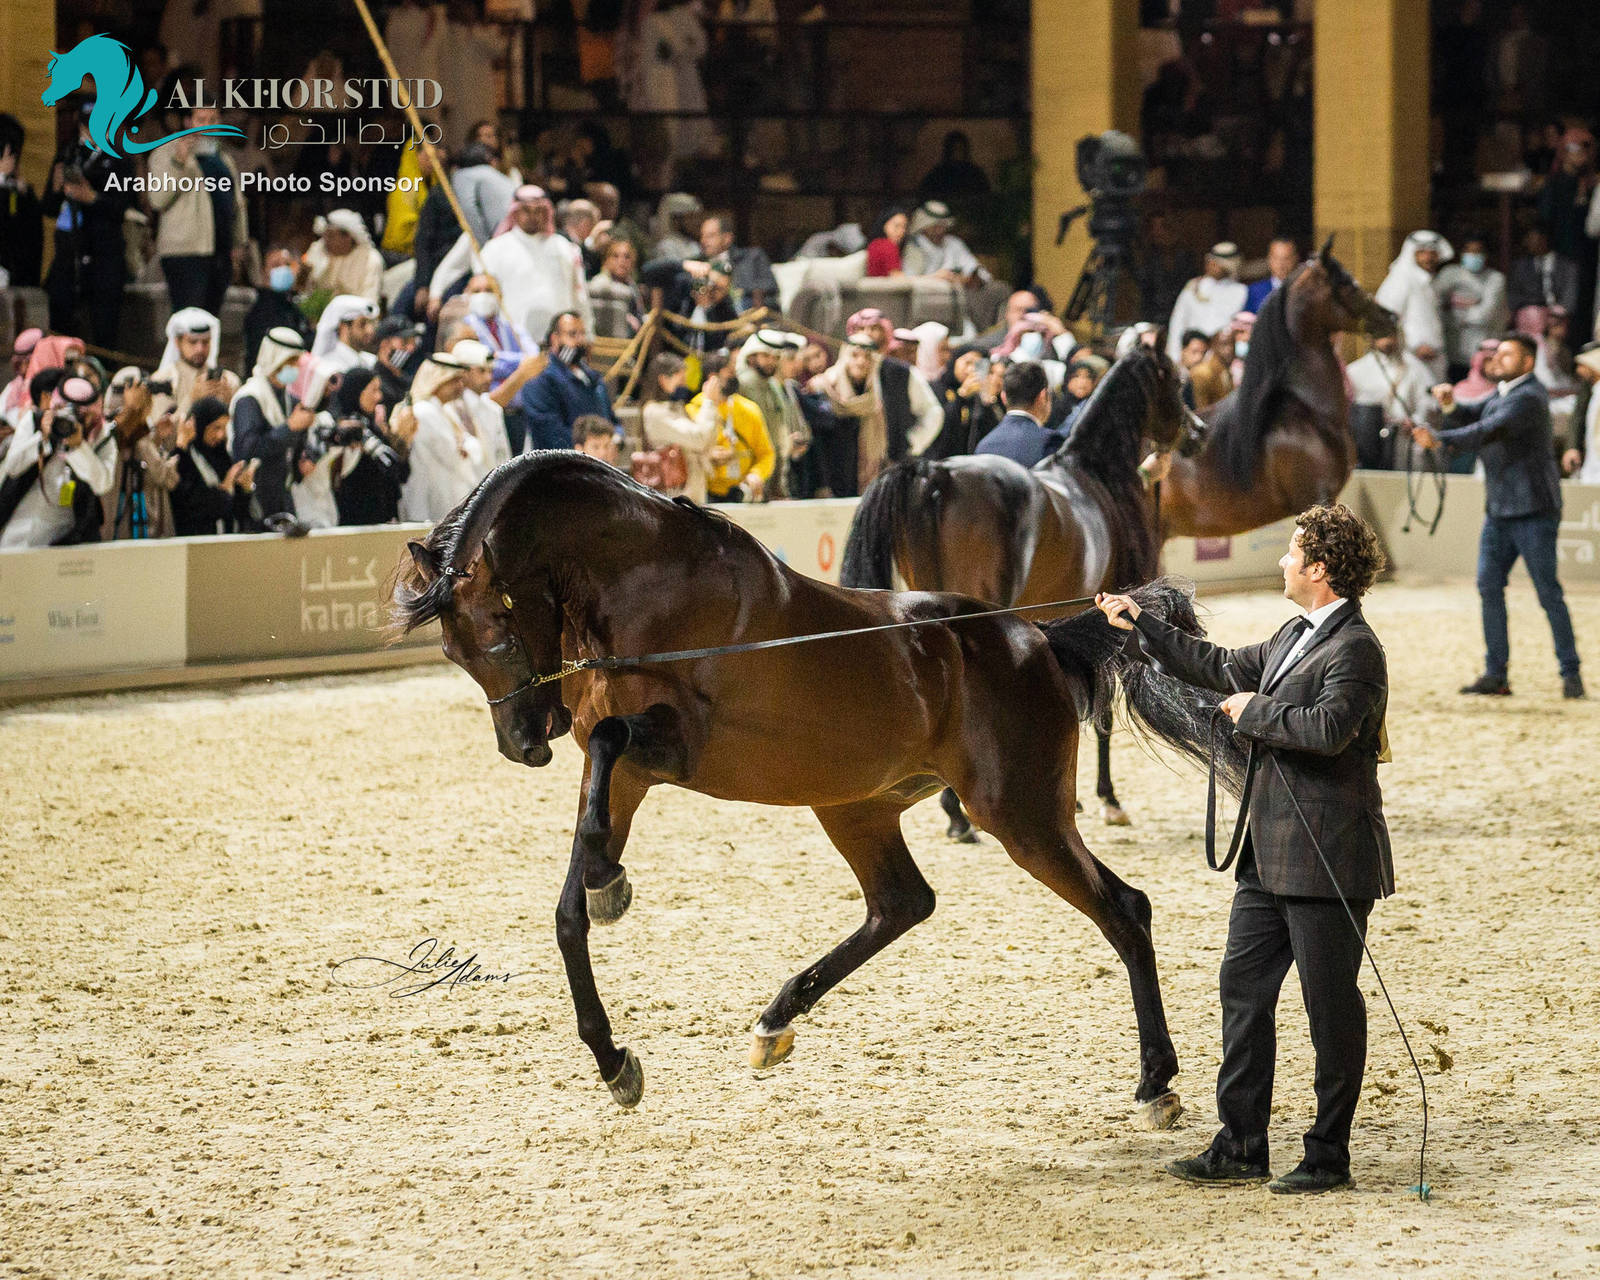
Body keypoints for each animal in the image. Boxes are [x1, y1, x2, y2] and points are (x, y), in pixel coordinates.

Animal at [390, 451, 1244, 1123]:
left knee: (1123, 909)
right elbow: (571, 910)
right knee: (903, 903)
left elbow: (606, 746)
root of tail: (1035, 637)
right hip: (857, 808)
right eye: (452, 649)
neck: (650, 585)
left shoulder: (679, 747)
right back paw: (775, 1023)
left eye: (498, 633)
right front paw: (613, 1051)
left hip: (1022, 814)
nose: (524, 744)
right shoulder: (630, 776)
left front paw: (608, 880)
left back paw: (1158, 1085)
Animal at [839, 343, 1197, 834]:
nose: (1197, 433)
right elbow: (1103, 713)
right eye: (1176, 382)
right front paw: (1108, 799)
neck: (1098, 477)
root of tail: (934, 472)